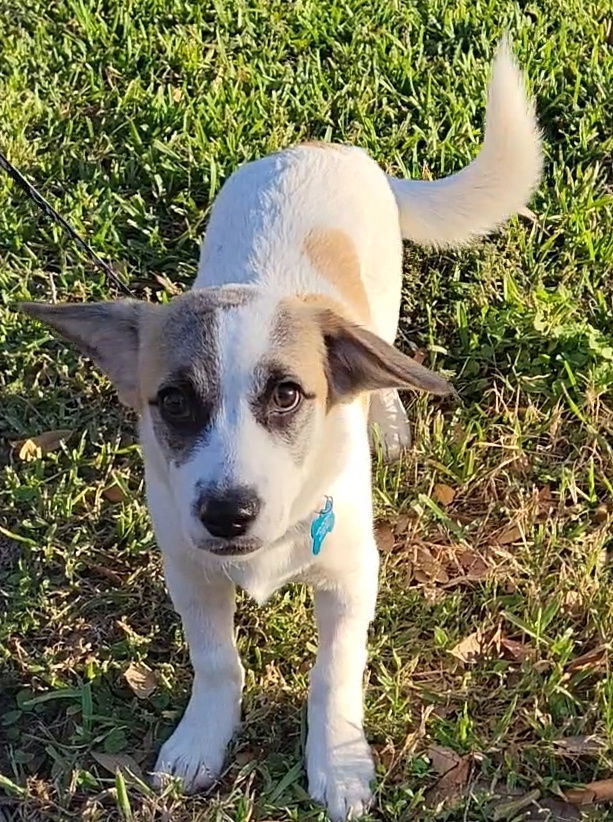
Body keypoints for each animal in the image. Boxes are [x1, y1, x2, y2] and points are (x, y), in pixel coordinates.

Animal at [21, 40, 540, 822]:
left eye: (288, 395)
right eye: (173, 401)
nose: (227, 514)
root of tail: (324, 146)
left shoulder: (352, 579)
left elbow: (334, 674)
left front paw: (339, 762)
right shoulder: (190, 570)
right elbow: (215, 661)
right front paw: (202, 740)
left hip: (382, 303)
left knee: (384, 358)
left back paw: (387, 421)